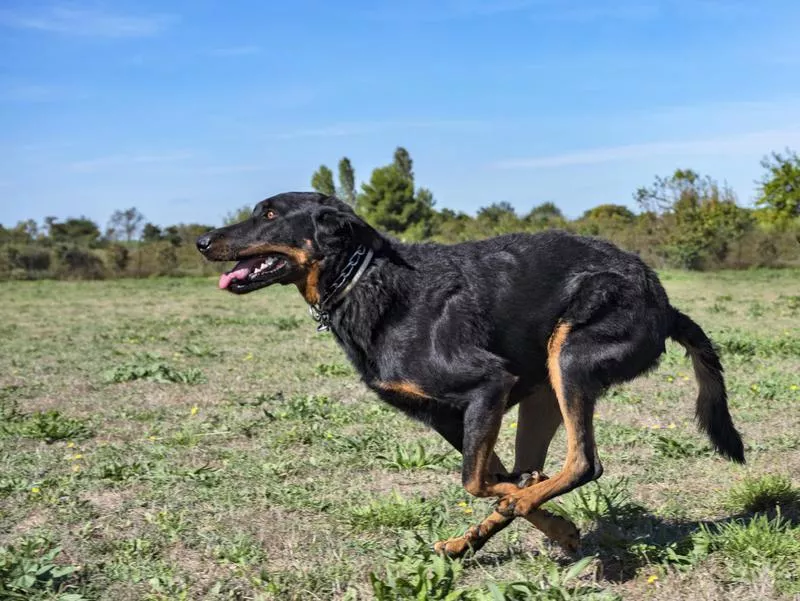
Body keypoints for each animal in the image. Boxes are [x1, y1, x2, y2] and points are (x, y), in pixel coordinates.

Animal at [197, 192, 748, 556]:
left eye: (269, 214)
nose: (202, 240)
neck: (365, 277)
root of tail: (666, 306)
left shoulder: (488, 385)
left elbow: (476, 481)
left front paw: (524, 507)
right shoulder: (446, 417)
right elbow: (489, 476)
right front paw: (551, 524)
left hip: (570, 356)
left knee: (582, 463)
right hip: (544, 387)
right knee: (541, 468)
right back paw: (479, 536)